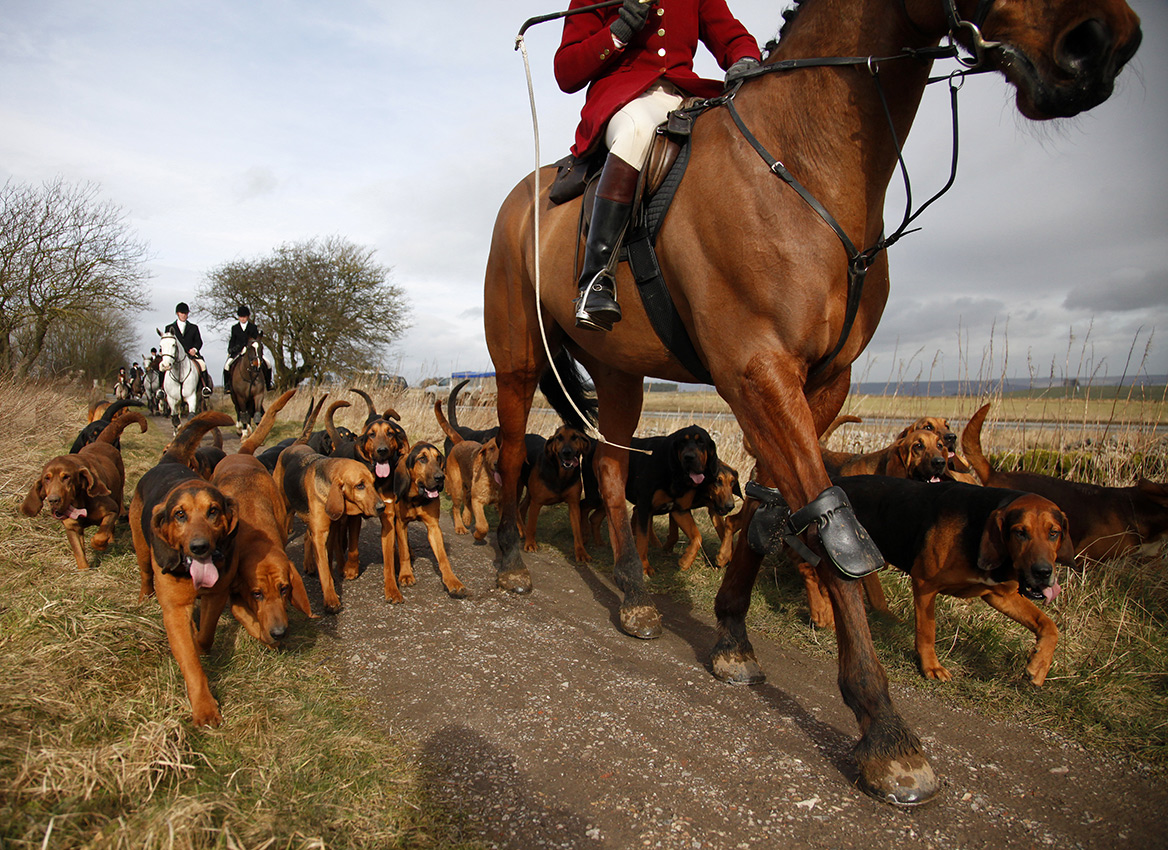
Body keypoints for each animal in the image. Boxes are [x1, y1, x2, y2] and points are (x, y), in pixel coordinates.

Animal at [483, 0, 1139, 803]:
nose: (1104, 43)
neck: (804, 162)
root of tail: (522, 194)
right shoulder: (758, 370)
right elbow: (835, 524)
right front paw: (885, 730)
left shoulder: (822, 381)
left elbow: (774, 508)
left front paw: (732, 637)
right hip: (516, 359)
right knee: (515, 447)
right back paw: (512, 562)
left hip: (617, 370)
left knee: (608, 470)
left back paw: (635, 595)